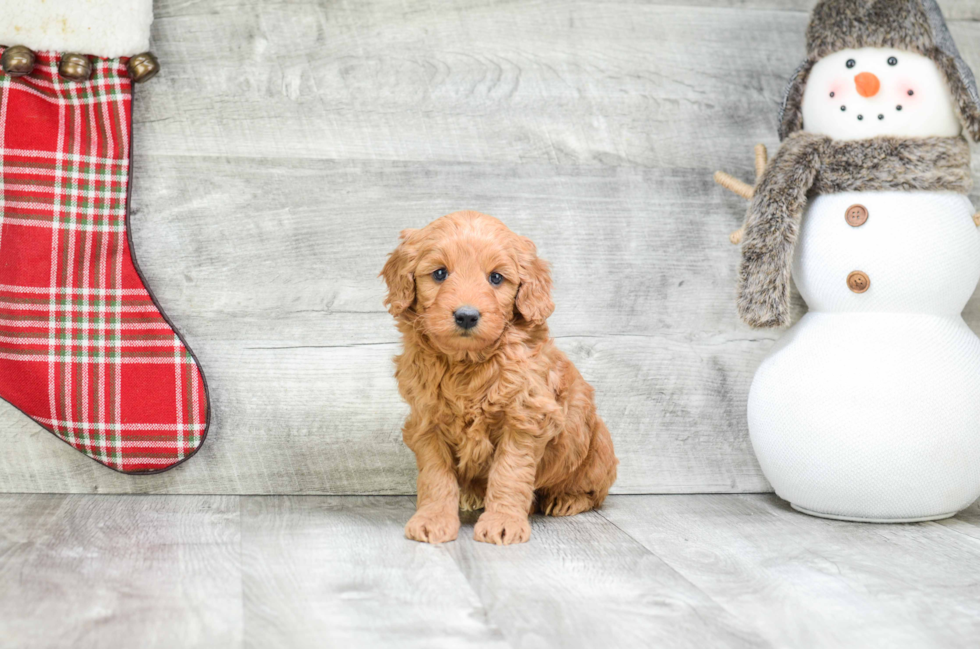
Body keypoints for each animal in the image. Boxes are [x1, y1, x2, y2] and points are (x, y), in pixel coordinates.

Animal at [380, 210, 616, 544]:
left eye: (495, 278)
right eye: (439, 274)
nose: (466, 316)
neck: (467, 364)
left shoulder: (525, 418)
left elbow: (509, 473)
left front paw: (503, 522)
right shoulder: (426, 421)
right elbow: (436, 477)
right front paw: (433, 519)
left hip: (599, 447)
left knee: (594, 491)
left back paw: (566, 499)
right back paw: (473, 496)